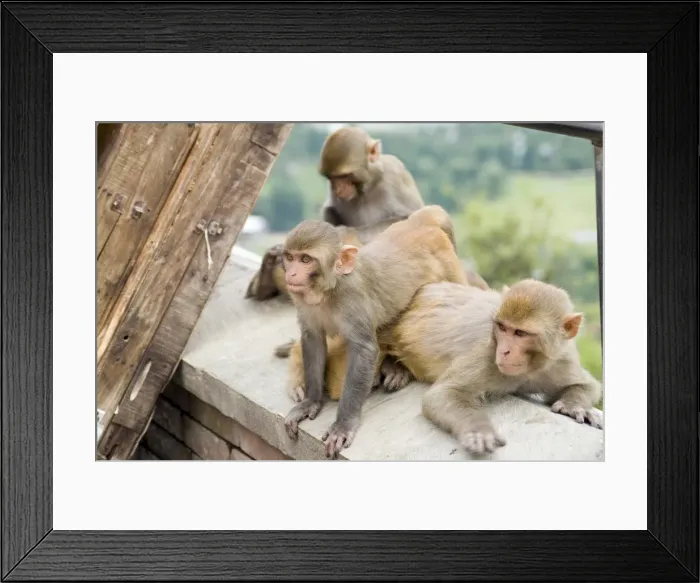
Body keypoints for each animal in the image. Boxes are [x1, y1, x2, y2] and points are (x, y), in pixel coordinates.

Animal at [280, 205, 469, 459]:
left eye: (306, 259)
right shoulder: (303, 302)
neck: (329, 291)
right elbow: (313, 339)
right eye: (290, 257)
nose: (291, 274)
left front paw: (343, 424)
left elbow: (364, 350)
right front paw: (311, 401)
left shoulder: (353, 299)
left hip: (449, 265)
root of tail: (421, 221)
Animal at [374, 279, 603, 456]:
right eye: (502, 327)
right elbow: (442, 394)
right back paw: (394, 367)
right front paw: (479, 430)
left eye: (520, 333)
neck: (529, 369)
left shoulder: (561, 359)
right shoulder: (487, 355)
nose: (504, 351)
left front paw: (575, 406)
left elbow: (589, 385)